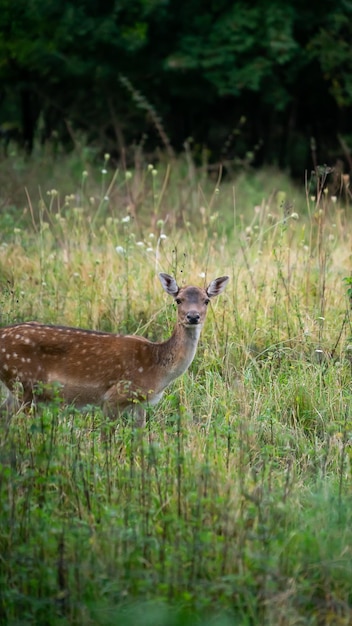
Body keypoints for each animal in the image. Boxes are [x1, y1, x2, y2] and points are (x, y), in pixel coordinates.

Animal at [0, 270, 230, 422]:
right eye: (178, 300)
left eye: (206, 300)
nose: (193, 316)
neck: (157, 370)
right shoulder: (114, 396)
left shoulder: (141, 403)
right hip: (25, 384)